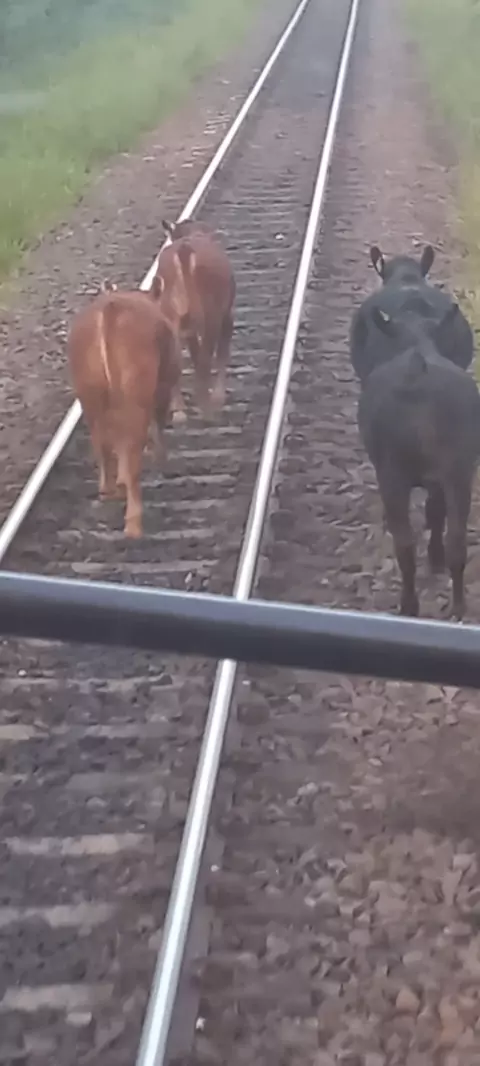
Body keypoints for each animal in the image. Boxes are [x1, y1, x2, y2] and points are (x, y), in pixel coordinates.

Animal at [68, 280, 180, 539]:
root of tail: (111, 308)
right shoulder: (163, 388)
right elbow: (158, 426)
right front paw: (162, 463)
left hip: (91, 397)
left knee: (103, 444)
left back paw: (109, 492)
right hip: (135, 398)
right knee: (132, 456)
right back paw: (133, 524)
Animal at [152, 218, 235, 419]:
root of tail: (184, 250)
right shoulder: (227, 315)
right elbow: (221, 353)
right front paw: (218, 397)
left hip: (172, 319)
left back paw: (179, 409)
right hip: (212, 316)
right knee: (207, 358)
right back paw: (207, 407)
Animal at [358, 305, 480, 621]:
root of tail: (417, 370)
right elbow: (435, 513)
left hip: (399, 475)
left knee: (408, 543)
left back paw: (413, 605)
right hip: (457, 472)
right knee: (452, 540)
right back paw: (455, 607)